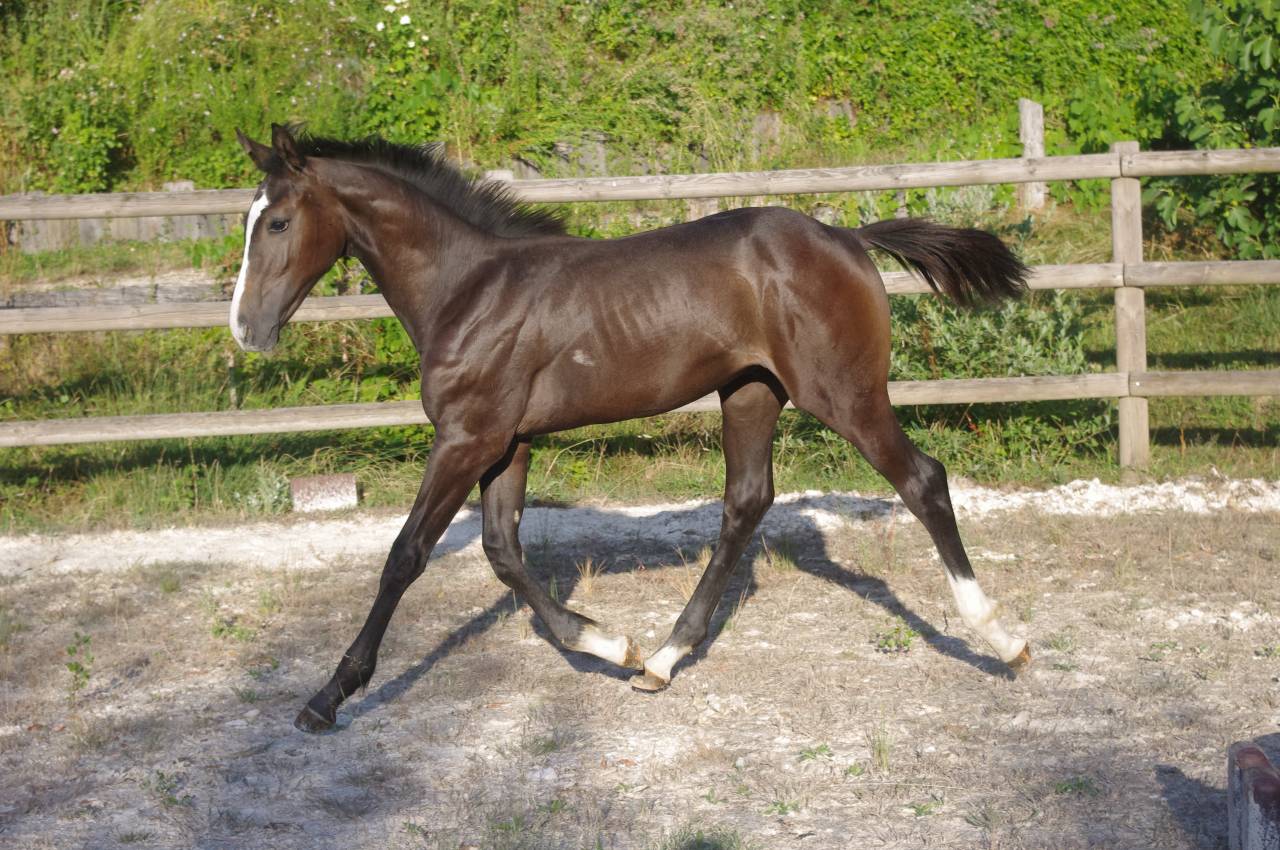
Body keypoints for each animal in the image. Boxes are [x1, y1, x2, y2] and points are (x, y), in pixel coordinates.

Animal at [232, 124, 1032, 734]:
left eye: (276, 222)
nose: (245, 330)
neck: (469, 290)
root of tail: (846, 235)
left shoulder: (468, 437)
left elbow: (406, 555)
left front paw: (328, 697)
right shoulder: (506, 442)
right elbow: (502, 552)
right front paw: (608, 643)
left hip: (843, 393)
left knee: (922, 480)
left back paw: (1003, 638)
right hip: (750, 393)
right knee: (746, 503)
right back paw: (664, 660)